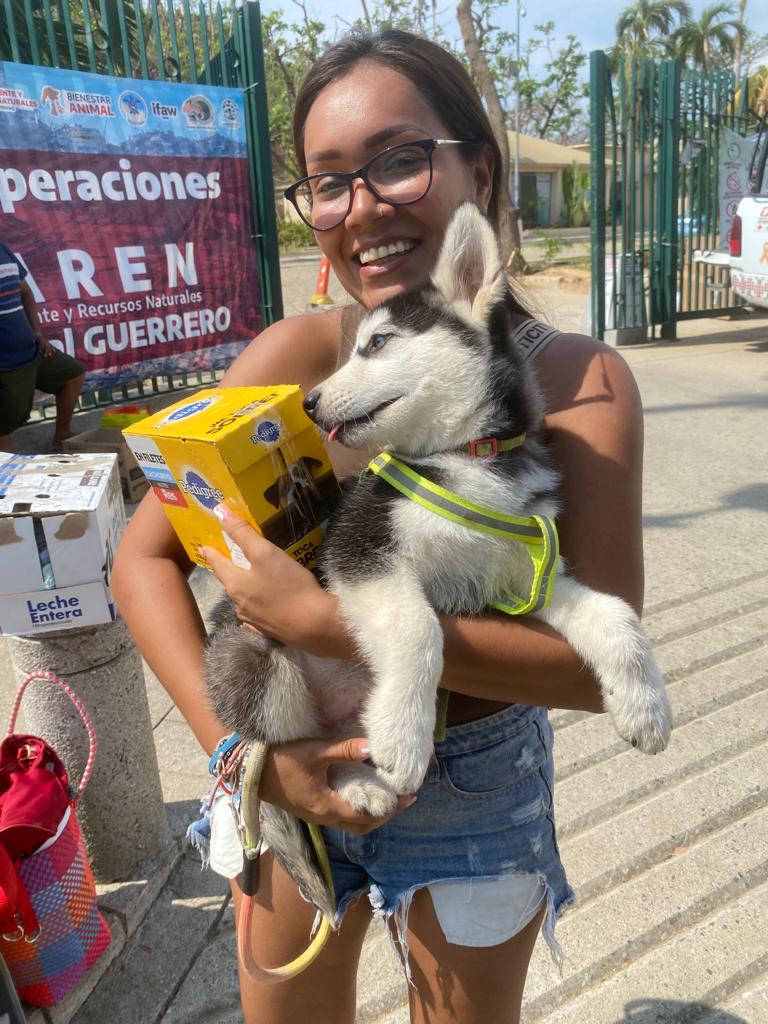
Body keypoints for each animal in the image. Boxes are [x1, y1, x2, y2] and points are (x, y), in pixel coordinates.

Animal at [205, 203, 671, 917]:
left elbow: (614, 612)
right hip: (260, 665)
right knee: (295, 750)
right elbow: (418, 627)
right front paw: (403, 734)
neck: (465, 458)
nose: (308, 402)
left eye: (378, 344)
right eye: (356, 344)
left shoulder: (524, 574)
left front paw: (644, 706)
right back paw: (360, 778)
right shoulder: (363, 550)